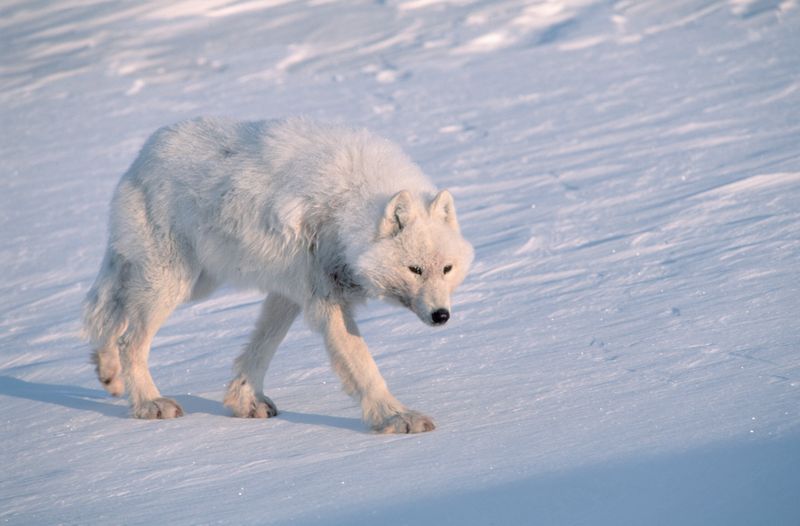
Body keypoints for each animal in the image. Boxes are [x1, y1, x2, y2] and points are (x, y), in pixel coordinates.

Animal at [83, 117, 468, 436]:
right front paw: (395, 417)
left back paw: (109, 373)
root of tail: (143, 156)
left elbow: (261, 347)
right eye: (414, 270)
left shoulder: (291, 292)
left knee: (106, 313)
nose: (442, 316)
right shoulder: (325, 298)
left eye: (446, 269)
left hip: (193, 283)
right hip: (174, 284)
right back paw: (149, 403)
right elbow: (363, 365)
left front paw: (245, 401)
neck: (348, 206)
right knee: (128, 338)